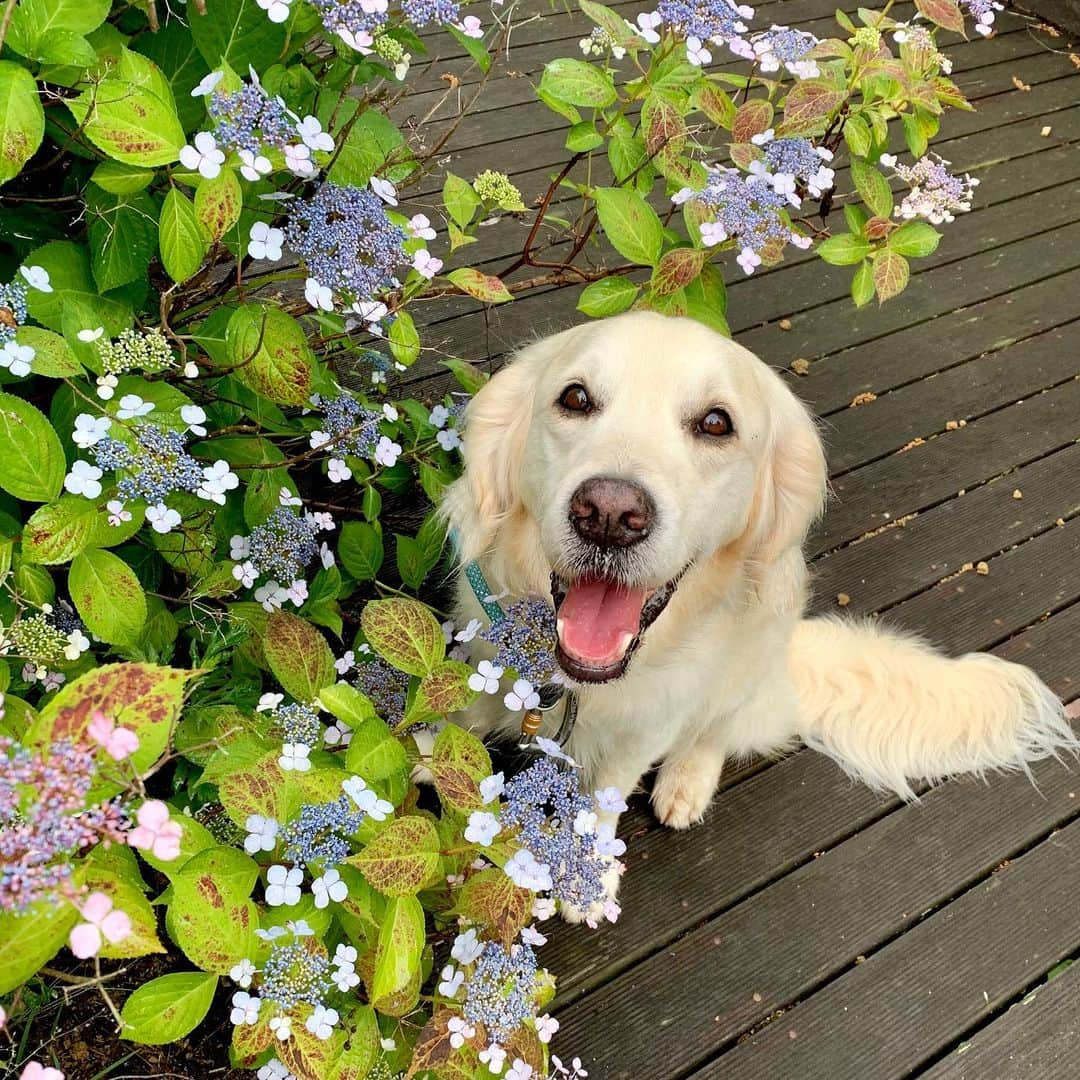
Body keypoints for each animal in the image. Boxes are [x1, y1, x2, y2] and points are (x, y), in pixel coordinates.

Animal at [438, 311, 1071, 911]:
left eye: (716, 423)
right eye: (574, 398)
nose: (610, 514)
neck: (581, 684)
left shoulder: (654, 719)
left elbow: (607, 792)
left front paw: (589, 880)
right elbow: (460, 713)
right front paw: (434, 765)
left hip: (751, 659)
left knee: (715, 730)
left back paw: (686, 782)